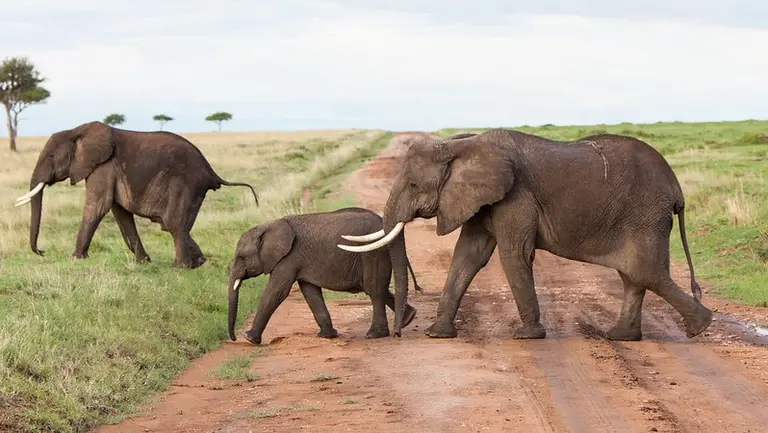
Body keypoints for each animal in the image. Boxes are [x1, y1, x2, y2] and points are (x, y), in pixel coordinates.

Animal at [14, 121, 258, 269]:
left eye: (51, 156)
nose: (42, 251)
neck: (77, 130)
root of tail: (211, 171)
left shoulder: (103, 167)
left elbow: (98, 207)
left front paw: (74, 259)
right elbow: (120, 212)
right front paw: (144, 263)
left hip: (186, 185)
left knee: (173, 224)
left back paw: (180, 268)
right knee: (177, 226)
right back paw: (198, 262)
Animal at [227, 207, 423, 345]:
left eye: (241, 258)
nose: (234, 338)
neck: (269, 225)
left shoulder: (288, 258)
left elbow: (277, 292)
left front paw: (249, 338)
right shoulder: (300, 261)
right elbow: (310, 292)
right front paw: (327, 336)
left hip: (373, 253)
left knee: (374, 290)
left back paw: (374, 335)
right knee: (379, 289)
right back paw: (408, 319)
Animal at [338, 128, 713, 342]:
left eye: (415, 185)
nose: (399, 333)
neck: (463, 145)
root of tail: (677, 188)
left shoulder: (515, 196)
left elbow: (513, 254)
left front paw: (526, 337)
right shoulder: (481, 200)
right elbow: (468, 255)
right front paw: (437, 334)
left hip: (645, 216)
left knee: (645, 272)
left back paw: (700, 327)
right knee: (634, 276)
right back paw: (622, 337)